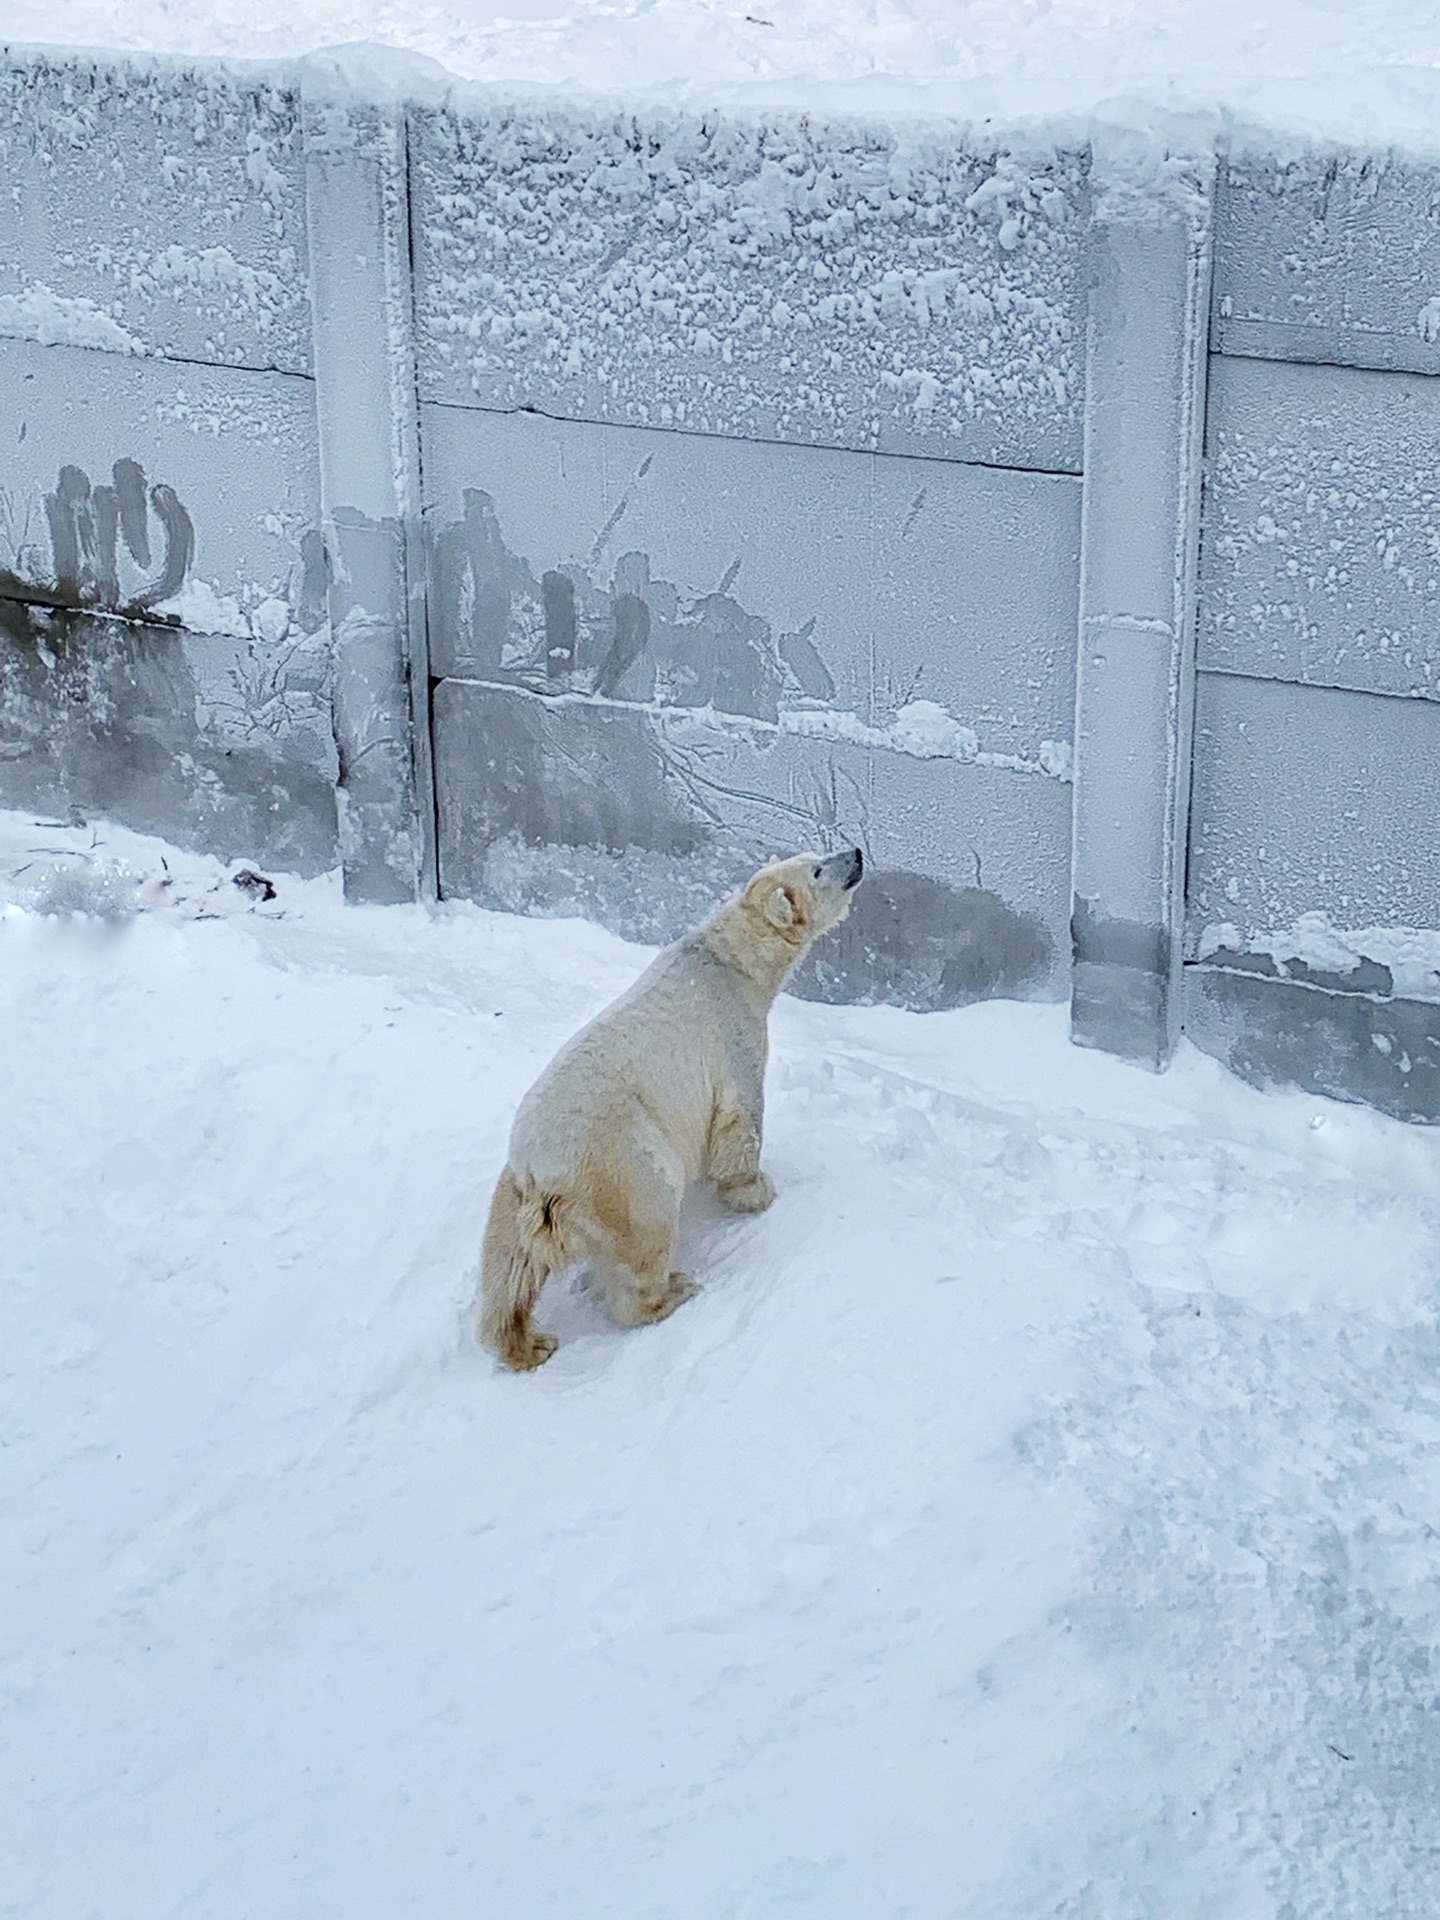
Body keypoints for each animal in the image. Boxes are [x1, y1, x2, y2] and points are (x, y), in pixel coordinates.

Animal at [485, 848, 867, 1374]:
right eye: (816, 869)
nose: (856, 854)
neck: (729, 960)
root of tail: (538, 1171)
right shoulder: (732, 1033)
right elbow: (740, 1121)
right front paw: (757, 1192)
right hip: (623, 1164)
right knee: (649, 1224)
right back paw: (673, 1290)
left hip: (516, 1192)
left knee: (508, 1262)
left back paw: (527, 1342)